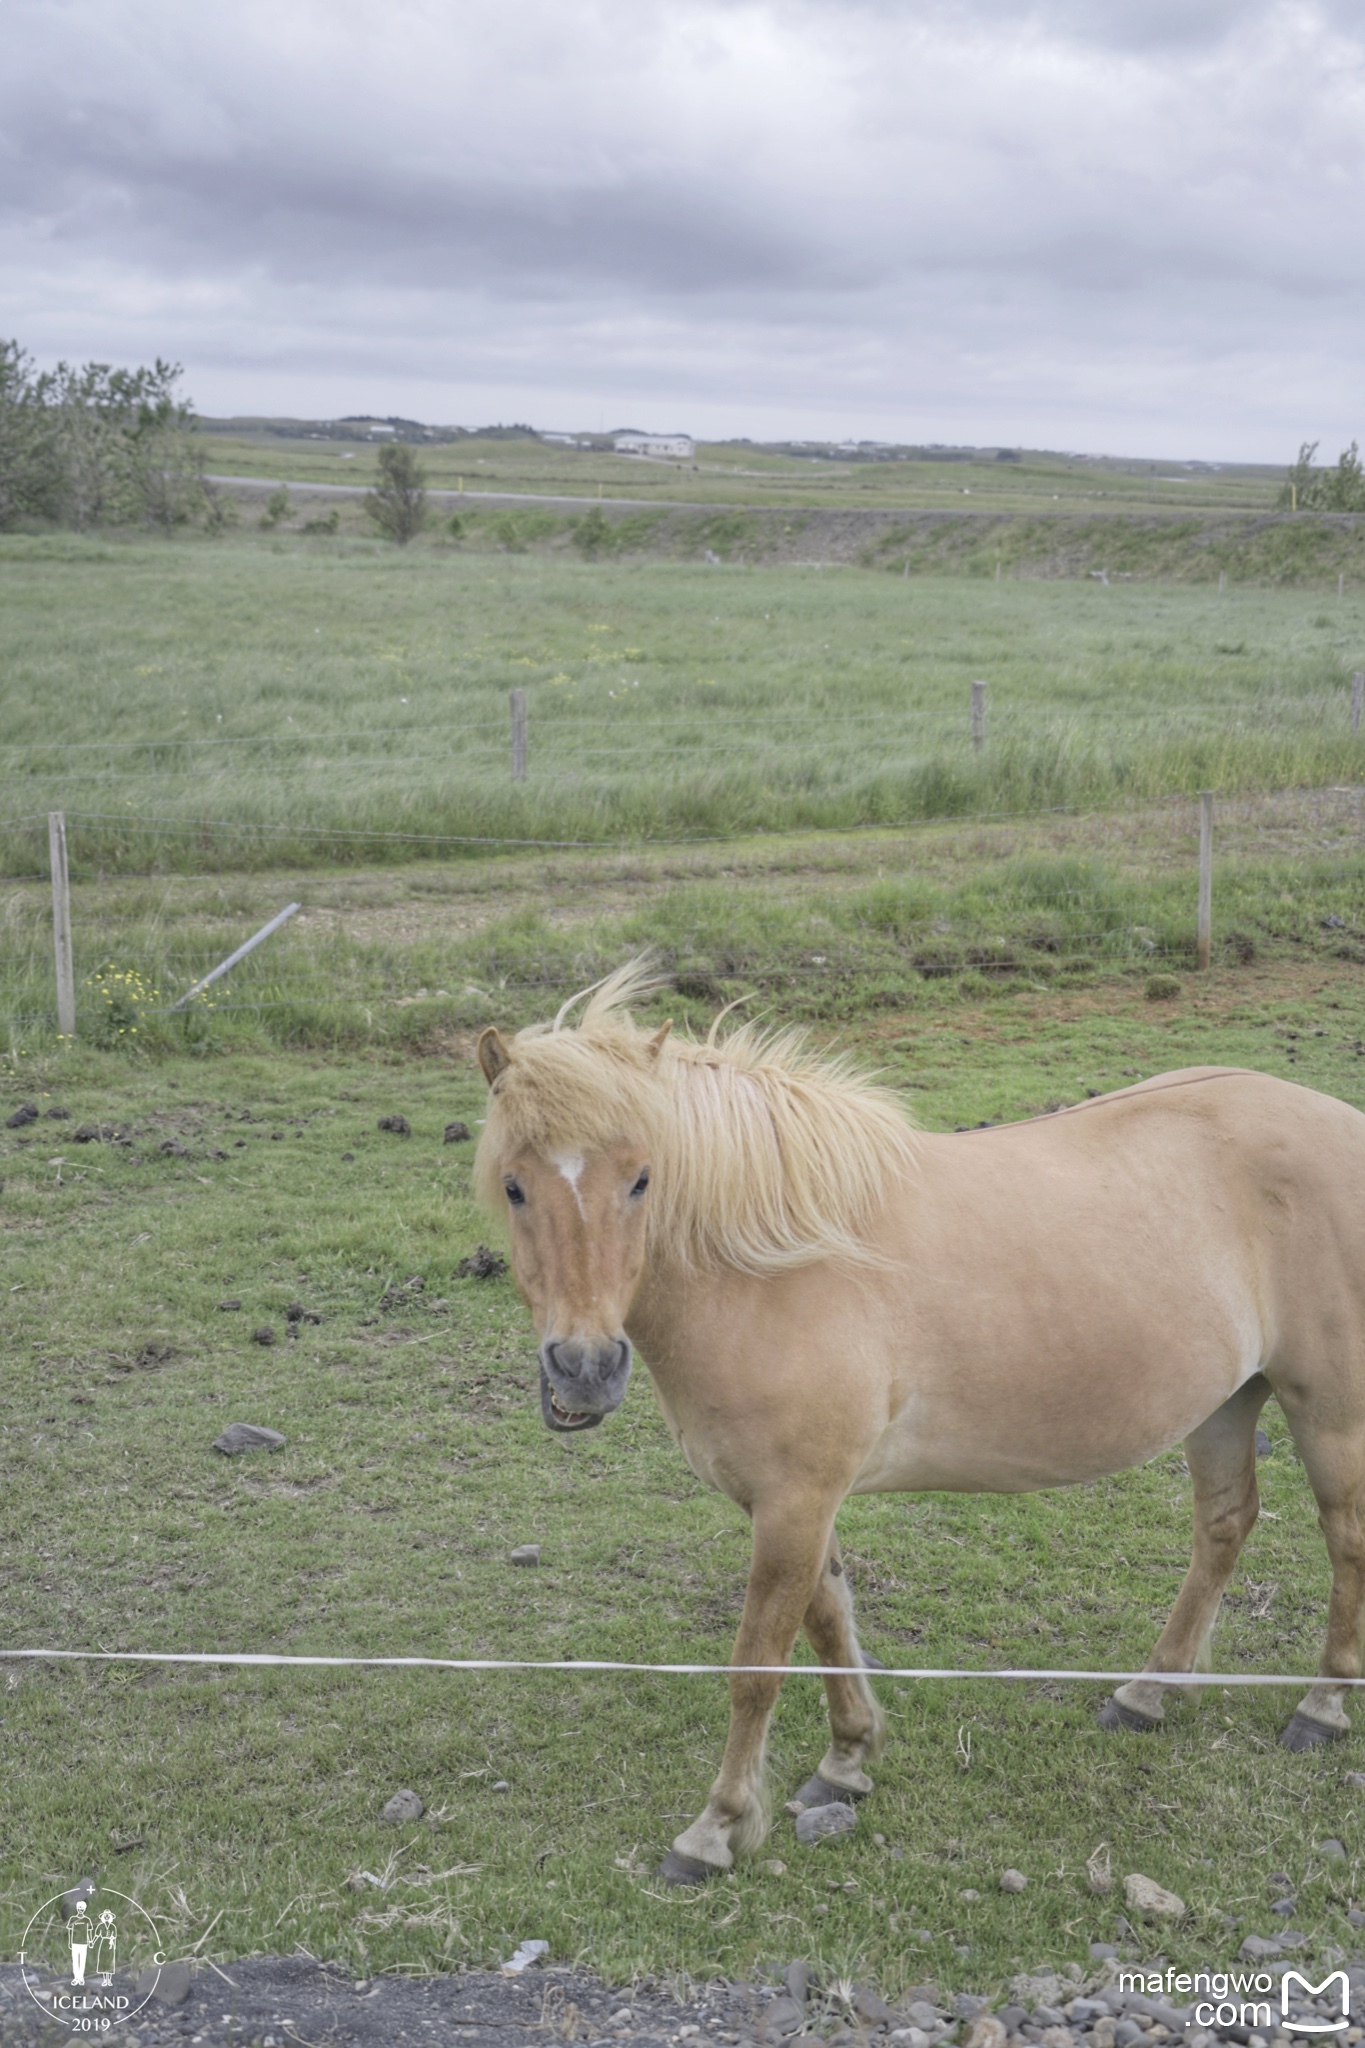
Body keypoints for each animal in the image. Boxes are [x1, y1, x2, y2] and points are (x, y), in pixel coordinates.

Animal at [474, 962, 1365, 1884]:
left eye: (641, 1179)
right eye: (513, 1185)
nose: (583, 1369)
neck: (773, 1262)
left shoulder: (794, 1501)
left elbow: (758, 1665)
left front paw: (715, 1829)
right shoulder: (794, 1501)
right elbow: (828, 1620)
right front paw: (845, 1762)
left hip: (1328, 1409)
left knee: (1345, 1538)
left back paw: (1320, 1706)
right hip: (1226, 1403)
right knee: (1222, 1529)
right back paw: (1145, 1693)